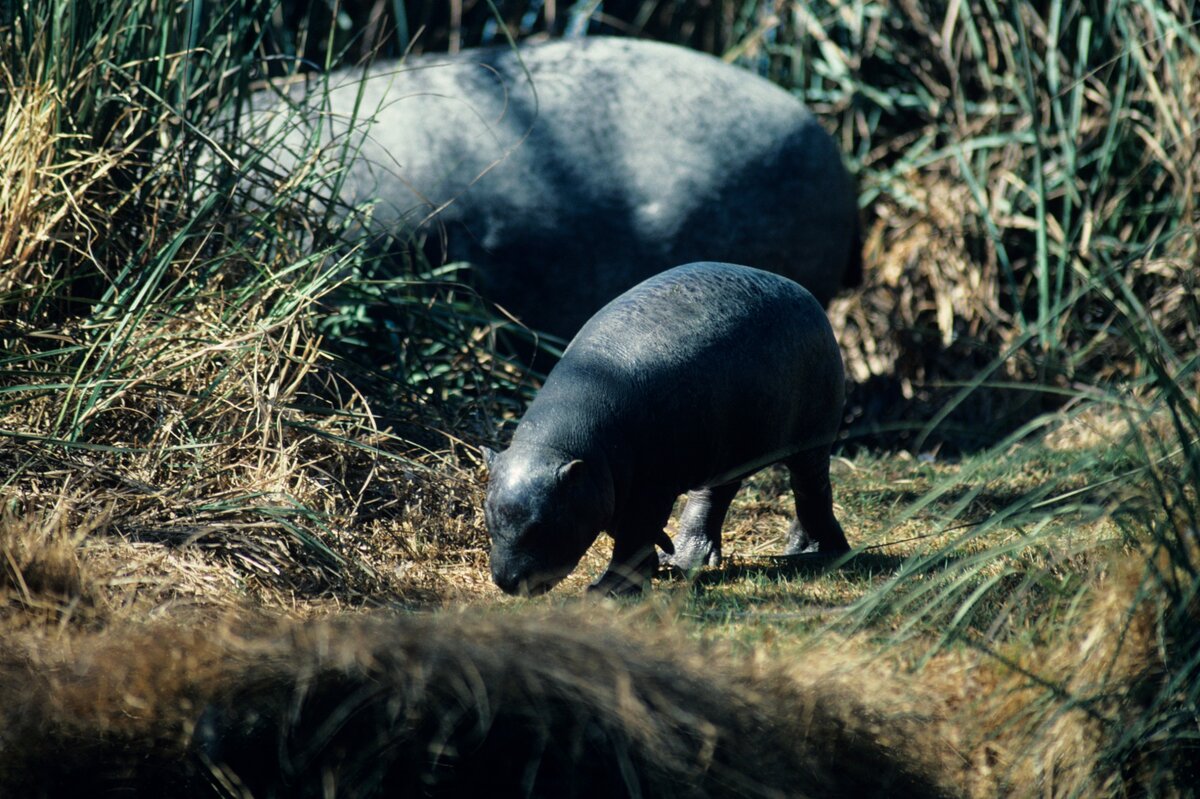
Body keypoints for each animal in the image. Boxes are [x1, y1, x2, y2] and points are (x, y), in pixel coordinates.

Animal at [482, 257, 849, 595]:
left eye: (541, 525)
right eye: (488, 514)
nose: (506, 582)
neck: (569, 446)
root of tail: (804, 292)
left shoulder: (651, 486)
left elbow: (634, 533)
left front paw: (607, 590)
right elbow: (633, 532)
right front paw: (655, 565)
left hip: (812, 440)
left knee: (811, 489)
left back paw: (815, 553)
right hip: (726, 448)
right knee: (714, 497)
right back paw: (685, 560)